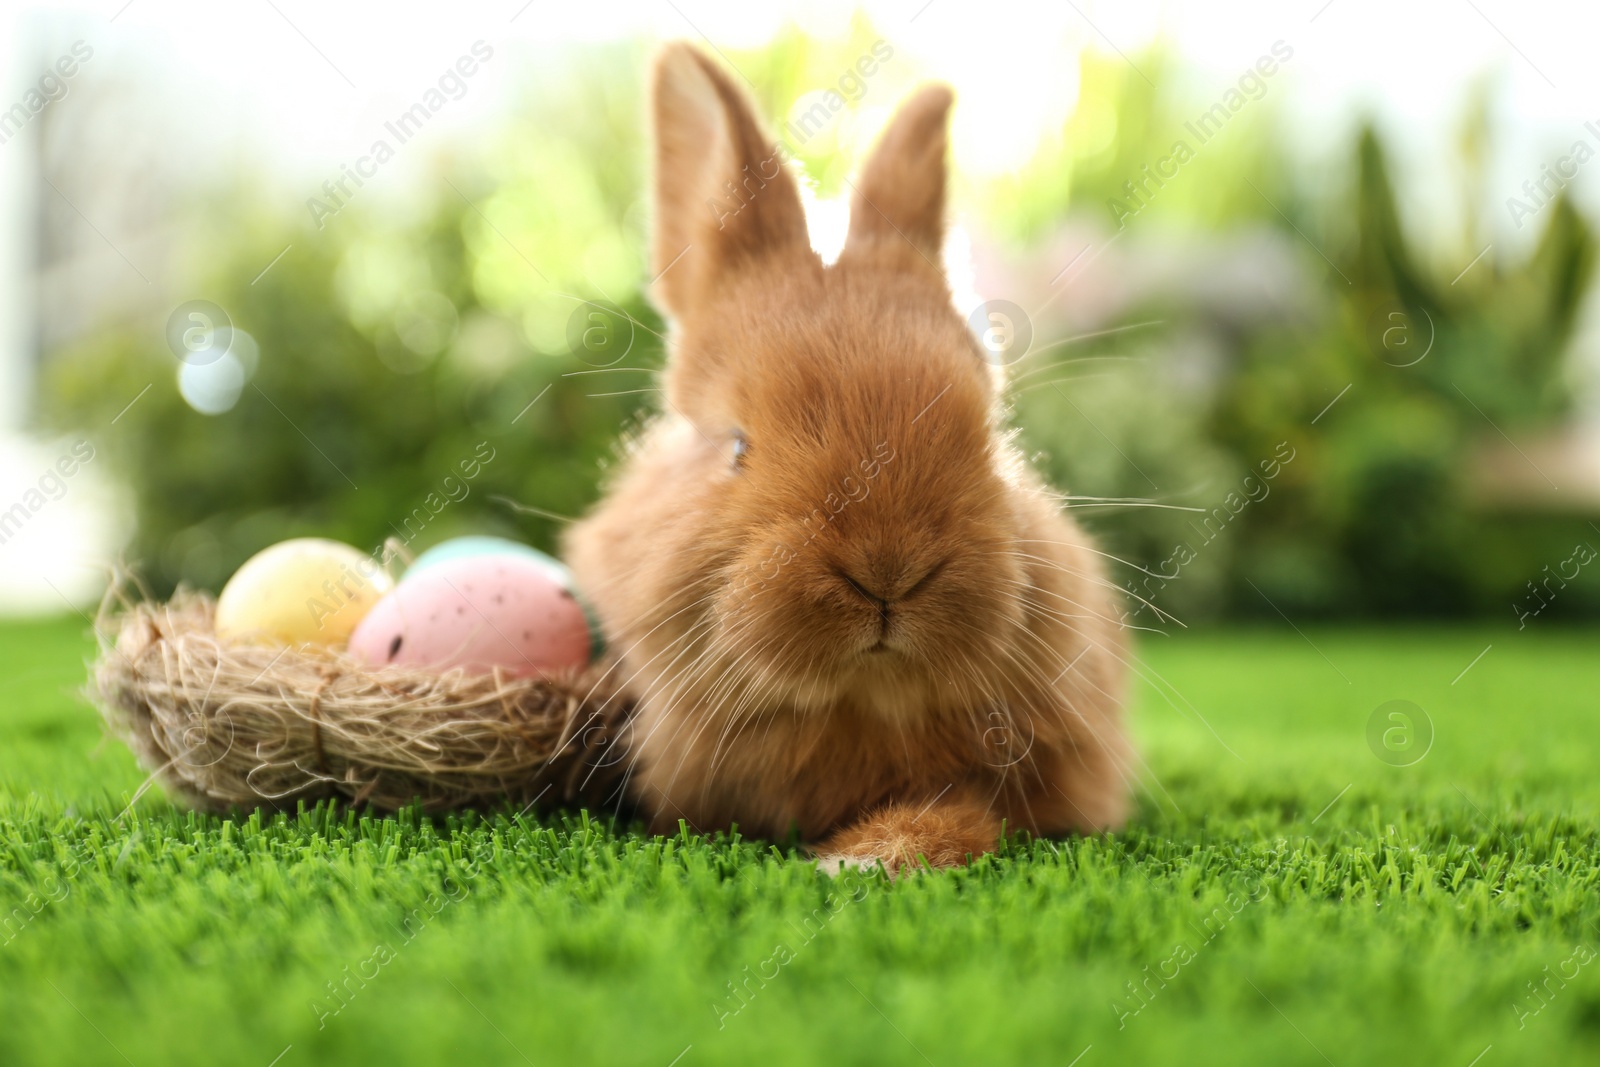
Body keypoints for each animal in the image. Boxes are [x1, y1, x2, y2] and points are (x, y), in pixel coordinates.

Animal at [569, 43, 1132, 876]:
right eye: (737, 446)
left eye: (988, 436)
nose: (887, 569)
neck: (862, 702)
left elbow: (971, 813)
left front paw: (866, 859)